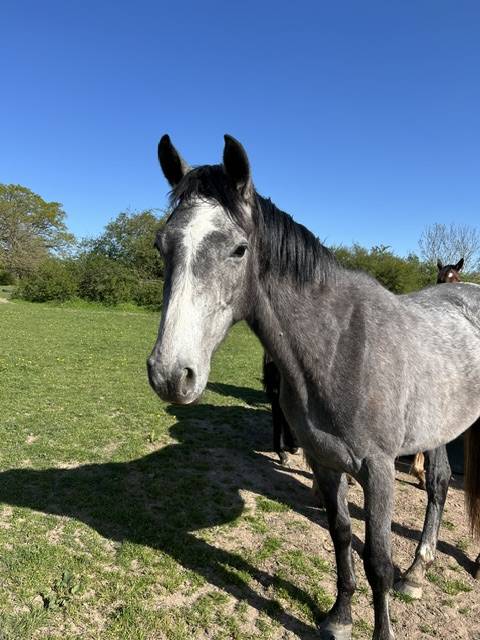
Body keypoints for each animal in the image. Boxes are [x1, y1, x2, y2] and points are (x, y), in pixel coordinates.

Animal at [147, 134, 480, 640]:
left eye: (238, 250)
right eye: (162, 244)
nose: (170, 374)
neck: (339, 347)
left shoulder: (379, 471)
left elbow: (377, 560)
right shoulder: (325, 462)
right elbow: (341, 537)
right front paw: (338, 617)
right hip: (440, 425)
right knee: (439, 483)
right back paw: (417, 572)